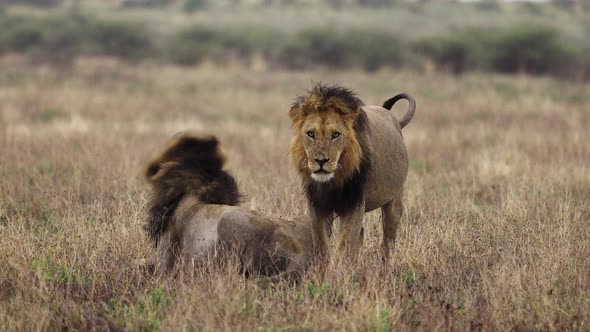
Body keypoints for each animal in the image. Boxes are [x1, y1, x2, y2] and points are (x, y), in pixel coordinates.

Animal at [290, 83, 418, 260]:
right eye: (310, 134)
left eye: (336, 134)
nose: (321, 161)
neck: (334, 179)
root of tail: (394, 119)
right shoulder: (317, 204)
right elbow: (321, 244)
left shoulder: (354, 203)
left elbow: (344, 245)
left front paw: (339, 268)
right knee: (361, 235)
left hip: (394, 201)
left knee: (388, 240)